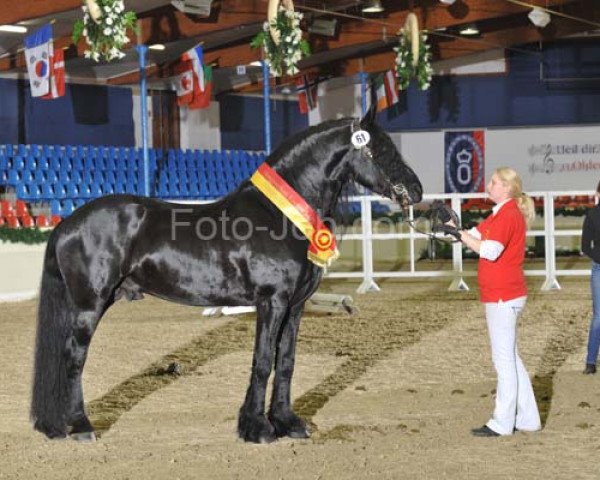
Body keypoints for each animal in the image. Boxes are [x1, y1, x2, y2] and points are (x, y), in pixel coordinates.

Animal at [29, 107, 422, 444]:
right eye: (379, 150)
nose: (416, 191)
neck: (278, 217)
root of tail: (67, 222)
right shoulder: (271, 302)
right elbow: (263, 362)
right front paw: (257, 429)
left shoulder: (294, 306)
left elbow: (286, 362)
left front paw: (288, 424)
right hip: (89, 304)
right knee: (73, 357)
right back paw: (81, 427)